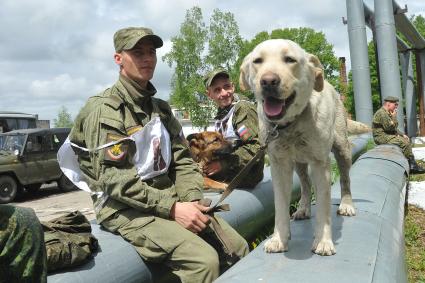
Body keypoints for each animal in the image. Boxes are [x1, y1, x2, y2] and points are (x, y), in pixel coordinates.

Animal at [238, 39, 354, 258]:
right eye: (258, 61)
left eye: (290, 59)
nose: (268, 81)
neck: (289, 124)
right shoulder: (279, 165)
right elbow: (280, 207)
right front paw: (279, 239)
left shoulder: (320, 164)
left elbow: (324, 207)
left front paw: (323, 241)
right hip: (299, 163)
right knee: (306, 185)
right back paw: (303, 209)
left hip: (342, 150)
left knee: (345, 180)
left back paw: (346, 205)